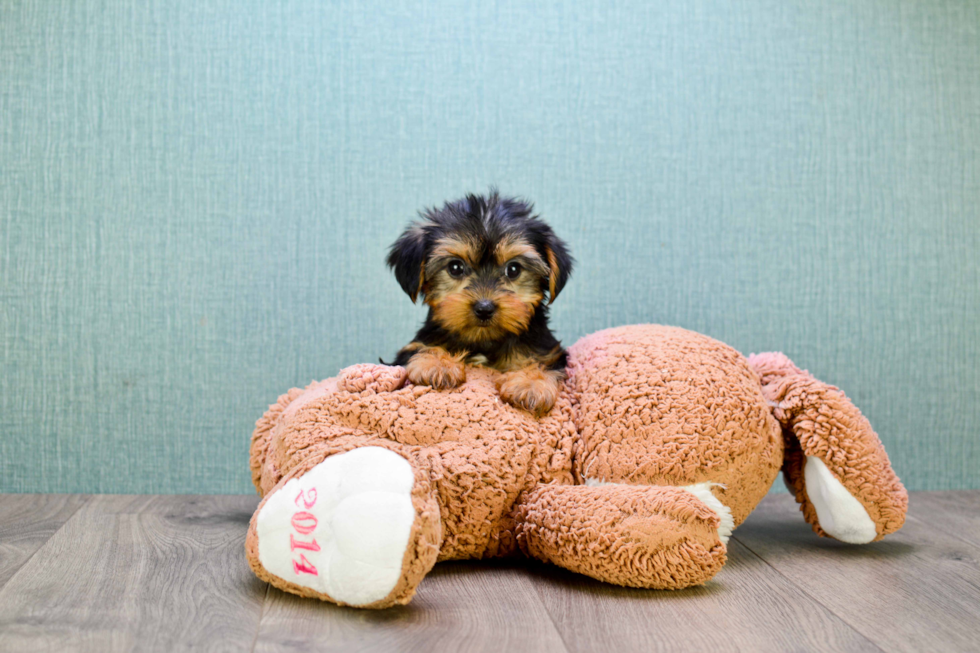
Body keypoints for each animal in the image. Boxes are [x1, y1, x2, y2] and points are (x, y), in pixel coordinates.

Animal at [386, 191, 576, 416]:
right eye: (455, 267)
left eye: (513, 269)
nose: (484, 309)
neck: (483, 341)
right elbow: (421, 348)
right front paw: (436, 364)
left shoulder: (547, 350)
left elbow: (542, 361)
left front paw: (530, 383)